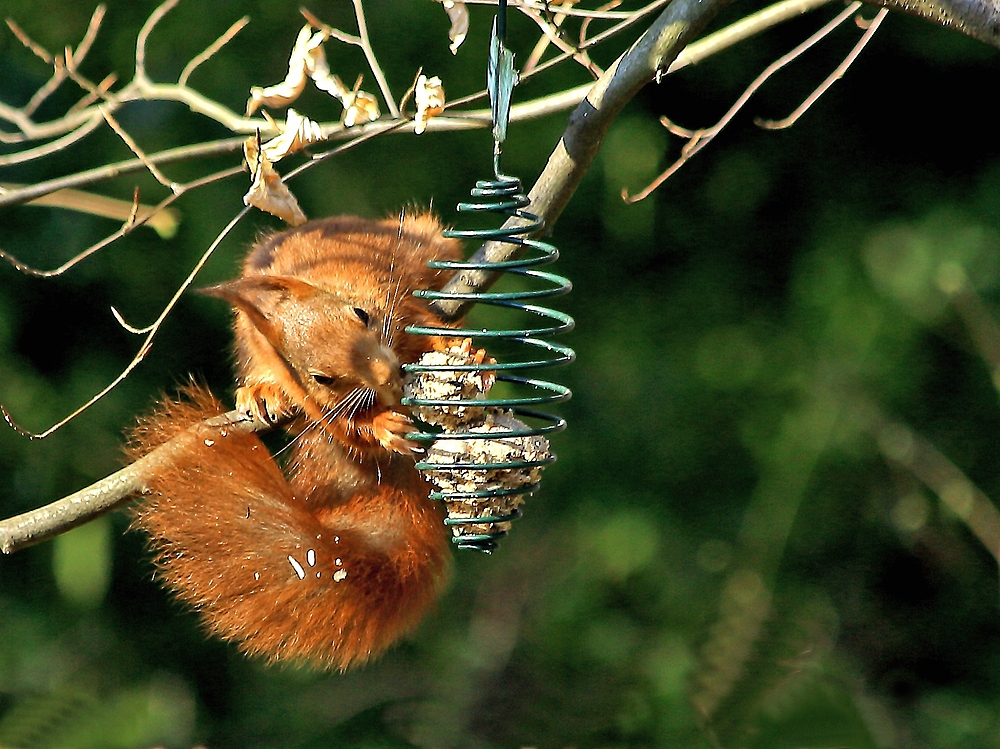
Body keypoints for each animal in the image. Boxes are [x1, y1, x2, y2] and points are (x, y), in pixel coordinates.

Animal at [127, 213, 462, 668]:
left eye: (361, 314)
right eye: (322, 377)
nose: (387, 376)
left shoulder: (391, 289)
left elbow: (420, 314)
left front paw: (451, 343)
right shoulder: (312, 400)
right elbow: (347, 429)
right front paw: (382, 427)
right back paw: (262, 393)